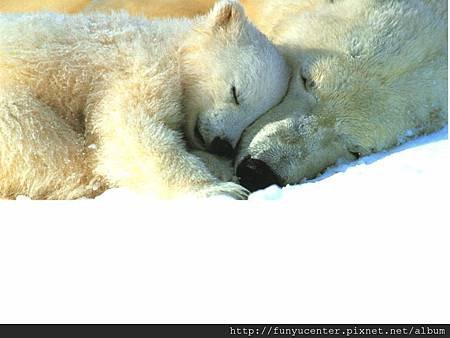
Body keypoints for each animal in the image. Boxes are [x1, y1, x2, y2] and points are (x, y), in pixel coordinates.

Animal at [0, 0, 288, 199]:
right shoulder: (142, 64)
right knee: (36, 135)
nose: (222, 145)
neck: (170, 43)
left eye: (252, 120)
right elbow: (131, 129)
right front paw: (221, 189)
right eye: (235, 92)